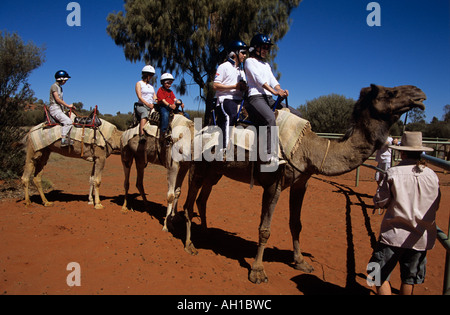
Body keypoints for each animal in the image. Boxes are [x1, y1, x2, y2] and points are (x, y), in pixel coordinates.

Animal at [184, 85, 428, 286]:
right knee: (189, 202)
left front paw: (301, 262)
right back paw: (190, 246)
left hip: (216, 172)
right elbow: (265, 229)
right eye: (391, 92)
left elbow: (296, 224)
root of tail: (198, 132)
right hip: (199, 166)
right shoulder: (273, 184)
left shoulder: (301, 184)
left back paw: (207, 234)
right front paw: (258, 271)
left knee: (202, 199)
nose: (420, 94)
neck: (308, 148)